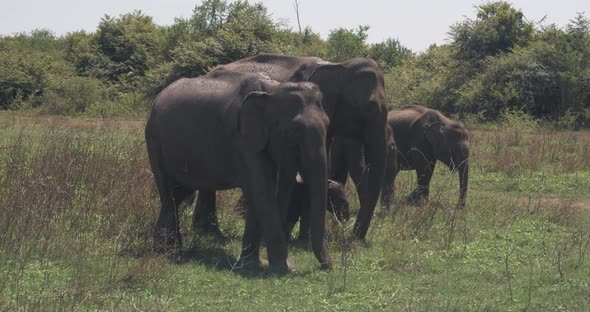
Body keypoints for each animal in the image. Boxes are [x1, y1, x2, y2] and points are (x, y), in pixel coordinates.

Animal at [145, 70, 332, 272]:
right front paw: (286, 268)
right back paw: (170, 254)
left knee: (179, 195)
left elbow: (267, 194)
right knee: (168, 194)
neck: (273, 91)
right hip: (154, 142)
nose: (327, 267)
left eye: (328, 125)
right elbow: (262, 192)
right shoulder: (242, 139)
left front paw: (252, 264)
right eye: (293, 131)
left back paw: (165, 250)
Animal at [197, 53, 390, 239]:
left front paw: (304, 239)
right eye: (369, 107)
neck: (339, 65)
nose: (354, 238)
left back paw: (207, 232)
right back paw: (210, 234)